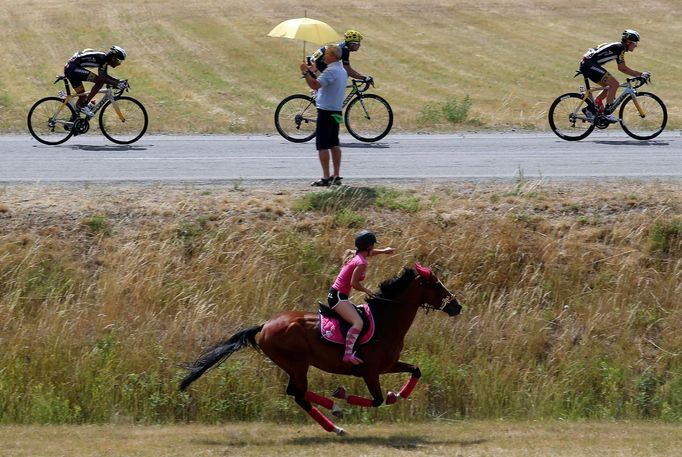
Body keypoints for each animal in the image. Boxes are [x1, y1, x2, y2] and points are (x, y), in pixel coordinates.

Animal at [178, 262, 460, 432]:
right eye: (437, 284)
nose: (457, 306)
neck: (385, 322)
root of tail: (265, 325)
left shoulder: (387, 365)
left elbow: (415, 370)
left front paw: (397, 395)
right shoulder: (370, 372)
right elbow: (377, 400)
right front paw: (347, 395)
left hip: (293, 365)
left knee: (296, 392)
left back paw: (334, 412)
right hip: (297, 362)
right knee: (299, 394)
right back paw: (336, 420)